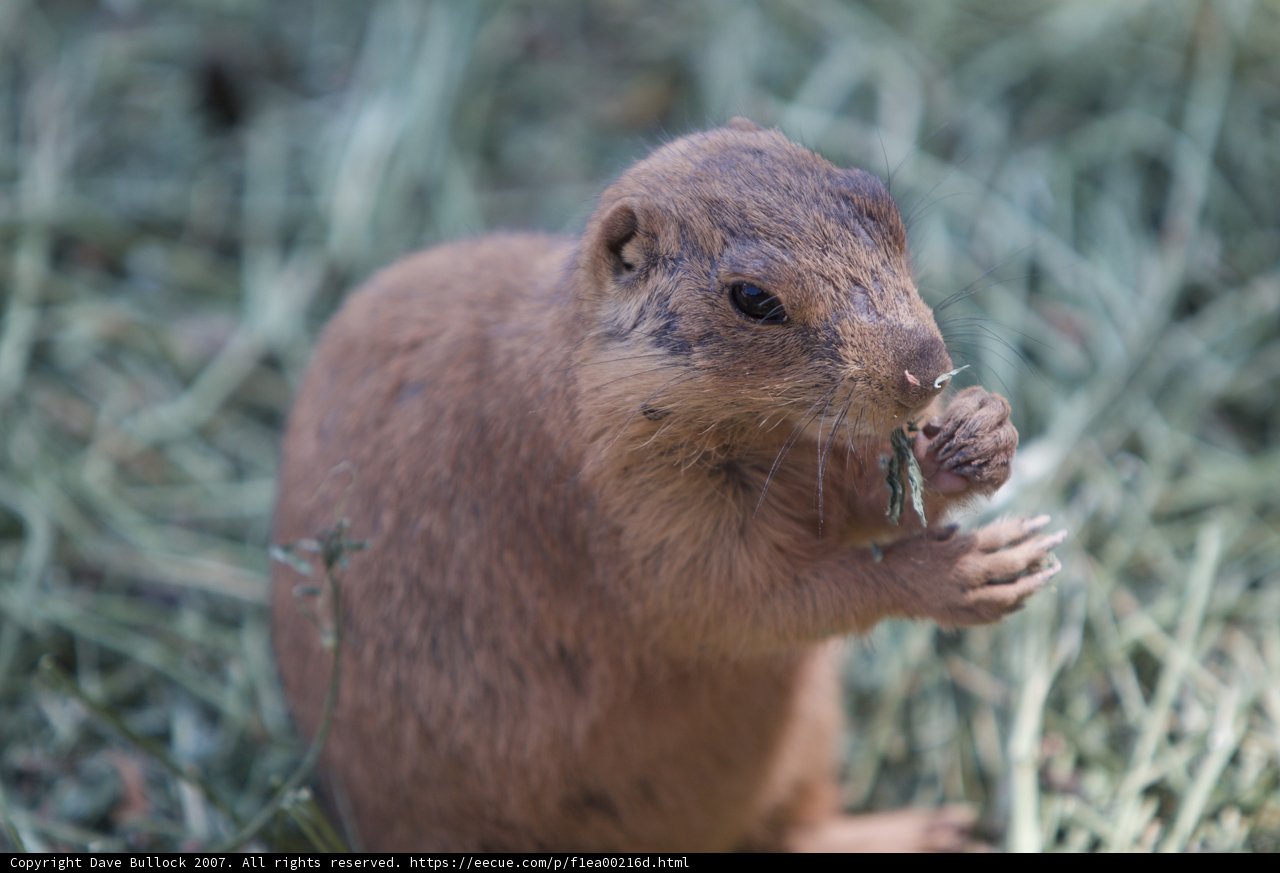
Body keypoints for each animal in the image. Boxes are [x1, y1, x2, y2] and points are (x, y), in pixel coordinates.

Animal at [270, 118, 1065, 851]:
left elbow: (843, 508)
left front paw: (980, 433)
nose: (927, 370)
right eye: (752, 299)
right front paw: (970, 570)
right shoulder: (630, 504)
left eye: (879, 198)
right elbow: (739, 599)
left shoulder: (799, 460)